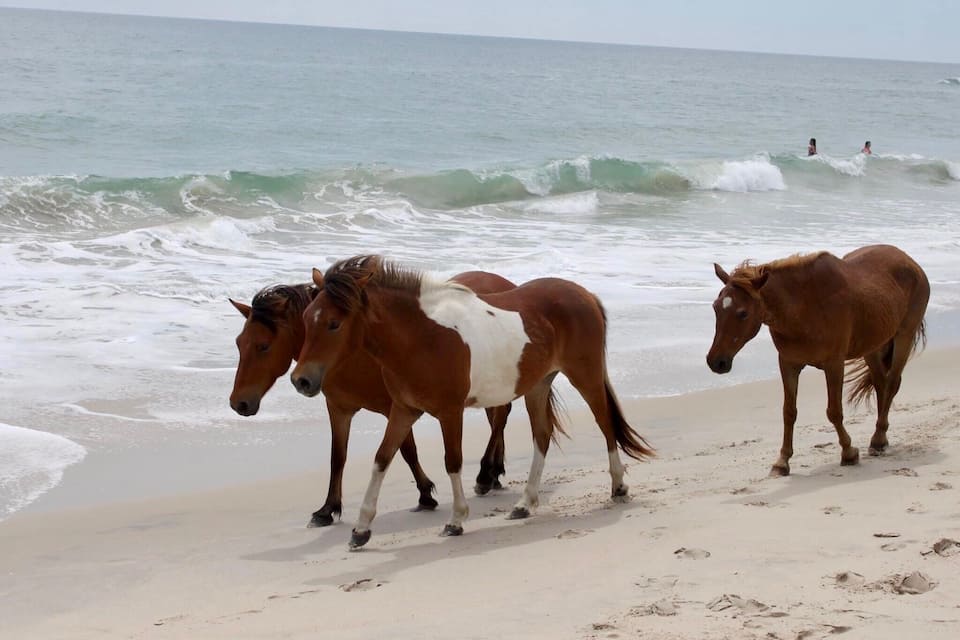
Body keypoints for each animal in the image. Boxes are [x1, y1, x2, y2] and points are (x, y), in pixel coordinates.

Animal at [229, 271, 516, 527]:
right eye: (239, 343)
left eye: (263, 346)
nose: (238, 403)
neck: (353, 354)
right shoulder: (339, 409)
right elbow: (338, 457)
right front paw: (327, 509)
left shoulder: (396, 408)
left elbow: (407, 452)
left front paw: (425, 494)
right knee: (498, 419)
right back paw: (494, 473)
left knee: (499, 420)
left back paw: (485, 475)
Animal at [290, 255, 653, 549]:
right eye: (306, 318)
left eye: (334, 324)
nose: (301, 381)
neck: (421, 337)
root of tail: (585, 294)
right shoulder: (404, 410)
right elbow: (382, 459)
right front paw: (361, 529)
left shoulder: (450, 413)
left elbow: (452, 462)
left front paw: (456, 520)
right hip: (538, 386)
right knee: (542, 435)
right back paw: (524, 504)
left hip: (585, 376)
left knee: (604, 424)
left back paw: (618, 487)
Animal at [706, 244, 929, 476]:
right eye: (715, 307)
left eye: (742, 313)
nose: (716, 362)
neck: (804, 307)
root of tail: (910, 262)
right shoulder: (788, 364)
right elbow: (789, 412)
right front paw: (782, 461)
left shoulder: (834, 365)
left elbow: (834, 411)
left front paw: (849, 452)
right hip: (873, 346)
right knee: (880, 383)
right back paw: (879, 438)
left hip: (904, 336)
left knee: (892, 383)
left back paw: (878, 440)